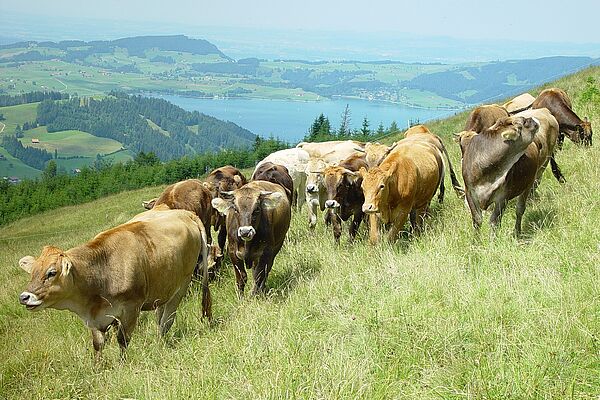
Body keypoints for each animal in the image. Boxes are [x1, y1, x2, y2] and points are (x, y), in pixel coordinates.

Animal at [18, 206, 211, 362]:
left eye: (51, 273)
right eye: (32, 272)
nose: (24, 297)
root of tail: (185, 213)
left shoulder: (131, 308)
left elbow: (122, 339)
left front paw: (122, 363)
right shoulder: (95, 319)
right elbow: (98, 344)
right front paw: (97, 368)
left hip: (182, 285)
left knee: (167, 320)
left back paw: (160, 344)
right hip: (164, 286)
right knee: (160, 316)